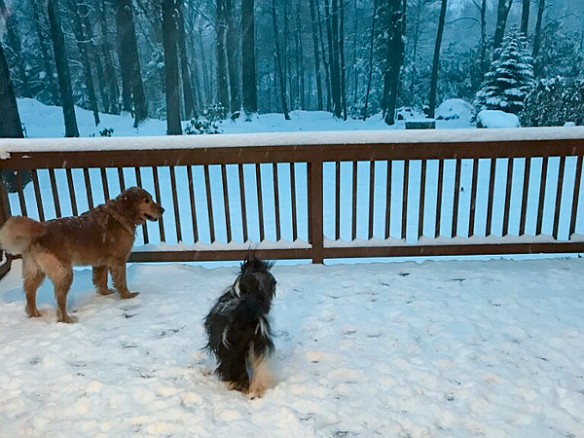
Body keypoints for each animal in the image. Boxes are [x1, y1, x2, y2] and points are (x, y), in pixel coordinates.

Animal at [0, 186, 164, 324]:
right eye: (146, 201)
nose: (163, 210)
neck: (121, 213)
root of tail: (41, 230)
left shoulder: (101, 262)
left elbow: (101, 280)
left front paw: (105, 294)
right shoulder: (118, 260)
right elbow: (121, 282)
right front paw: (128, 296)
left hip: (36, 272)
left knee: (30, 293)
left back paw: (34, 315)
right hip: (64, 273)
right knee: (60, 300)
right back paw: (66, 319)